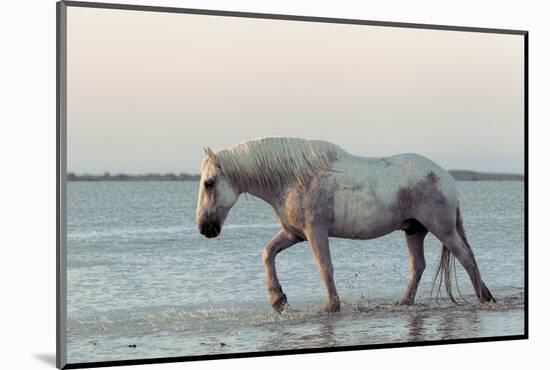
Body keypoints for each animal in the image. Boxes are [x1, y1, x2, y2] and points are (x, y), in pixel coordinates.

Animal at [196, 137, 498, 314]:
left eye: (209, 183)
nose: (204, 228)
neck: (294, 179)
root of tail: (447, 179)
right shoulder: (294, 234)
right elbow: (268, 253)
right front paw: (277, 299)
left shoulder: (315, 232)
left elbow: (324, 267)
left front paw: (332, 306)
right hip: (414, 230)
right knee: (418, 266)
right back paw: (405, 302)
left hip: (441, 229)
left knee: (466, 257)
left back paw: (484, 298)